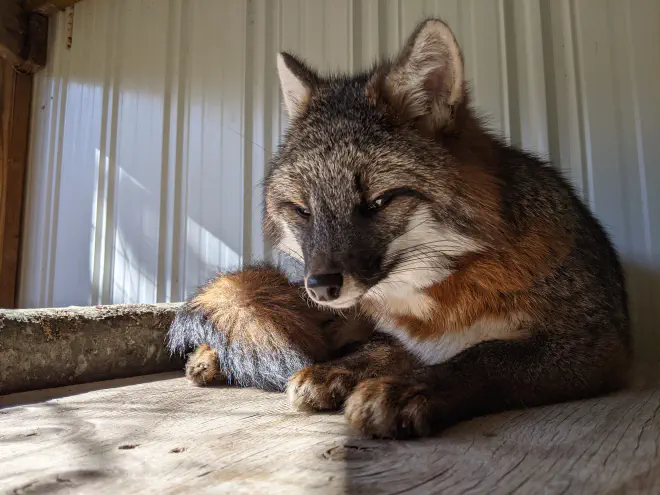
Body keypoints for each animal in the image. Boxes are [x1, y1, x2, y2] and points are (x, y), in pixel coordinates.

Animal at [168, 19, 632, 440]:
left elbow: (485, 356)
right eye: (302, 210)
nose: (320, 286)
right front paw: (339, 372)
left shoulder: (596, 342)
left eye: (378, 201)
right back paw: (213, 357)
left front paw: (410, 389)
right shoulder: (386, 330)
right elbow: (381, 348)